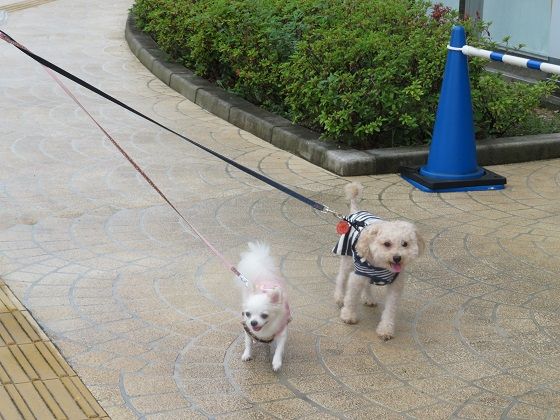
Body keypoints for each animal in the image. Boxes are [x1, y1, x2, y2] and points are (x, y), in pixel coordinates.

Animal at [238, 242, 291, 371]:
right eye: (247, 314)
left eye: (264, 315)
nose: (253, 322)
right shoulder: (246, 328)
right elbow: (248, 343)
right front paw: (247, 354)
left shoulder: (281, 332)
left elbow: (279, 349)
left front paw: (276, 362)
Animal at [333, 182, 424, 340]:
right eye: (387, 244)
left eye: (405, 244)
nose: (397, 258)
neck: (382, 267)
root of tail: (356, 212)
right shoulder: (358, 276)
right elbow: (351, 298)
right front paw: (348, 316)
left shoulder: (395, 286)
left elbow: (390, 310)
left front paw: (386, 329)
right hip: (348, 259)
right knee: (341, 277)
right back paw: (339, 296)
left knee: (367, 285)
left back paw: (368, 298)